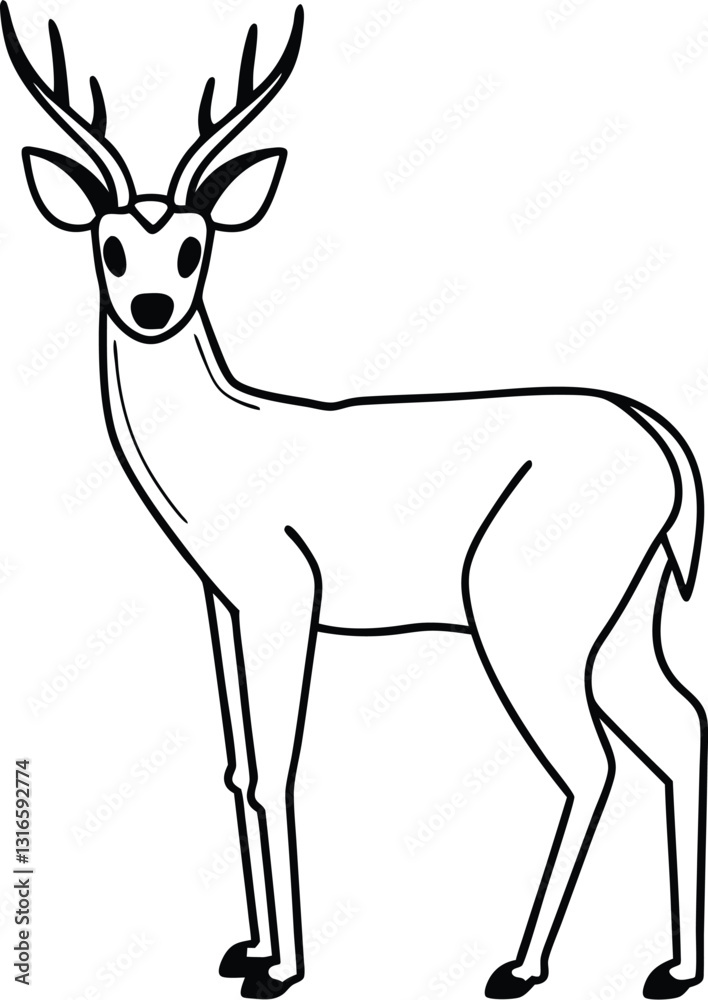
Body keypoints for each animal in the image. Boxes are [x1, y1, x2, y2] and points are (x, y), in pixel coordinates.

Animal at [2, 4, 706, 998]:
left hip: (528, 618)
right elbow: (237, 768)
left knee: (588, 763)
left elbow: (277, 772)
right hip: (621, 618)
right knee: (678, 725)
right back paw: (670, 969)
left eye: (193, 246)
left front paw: (281, 968)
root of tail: (666, 444)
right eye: (109, 245)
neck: (223, 444)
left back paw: (518, 966)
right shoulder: (224, 605)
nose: (150, 308)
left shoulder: (286, 598)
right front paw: (247, 948)